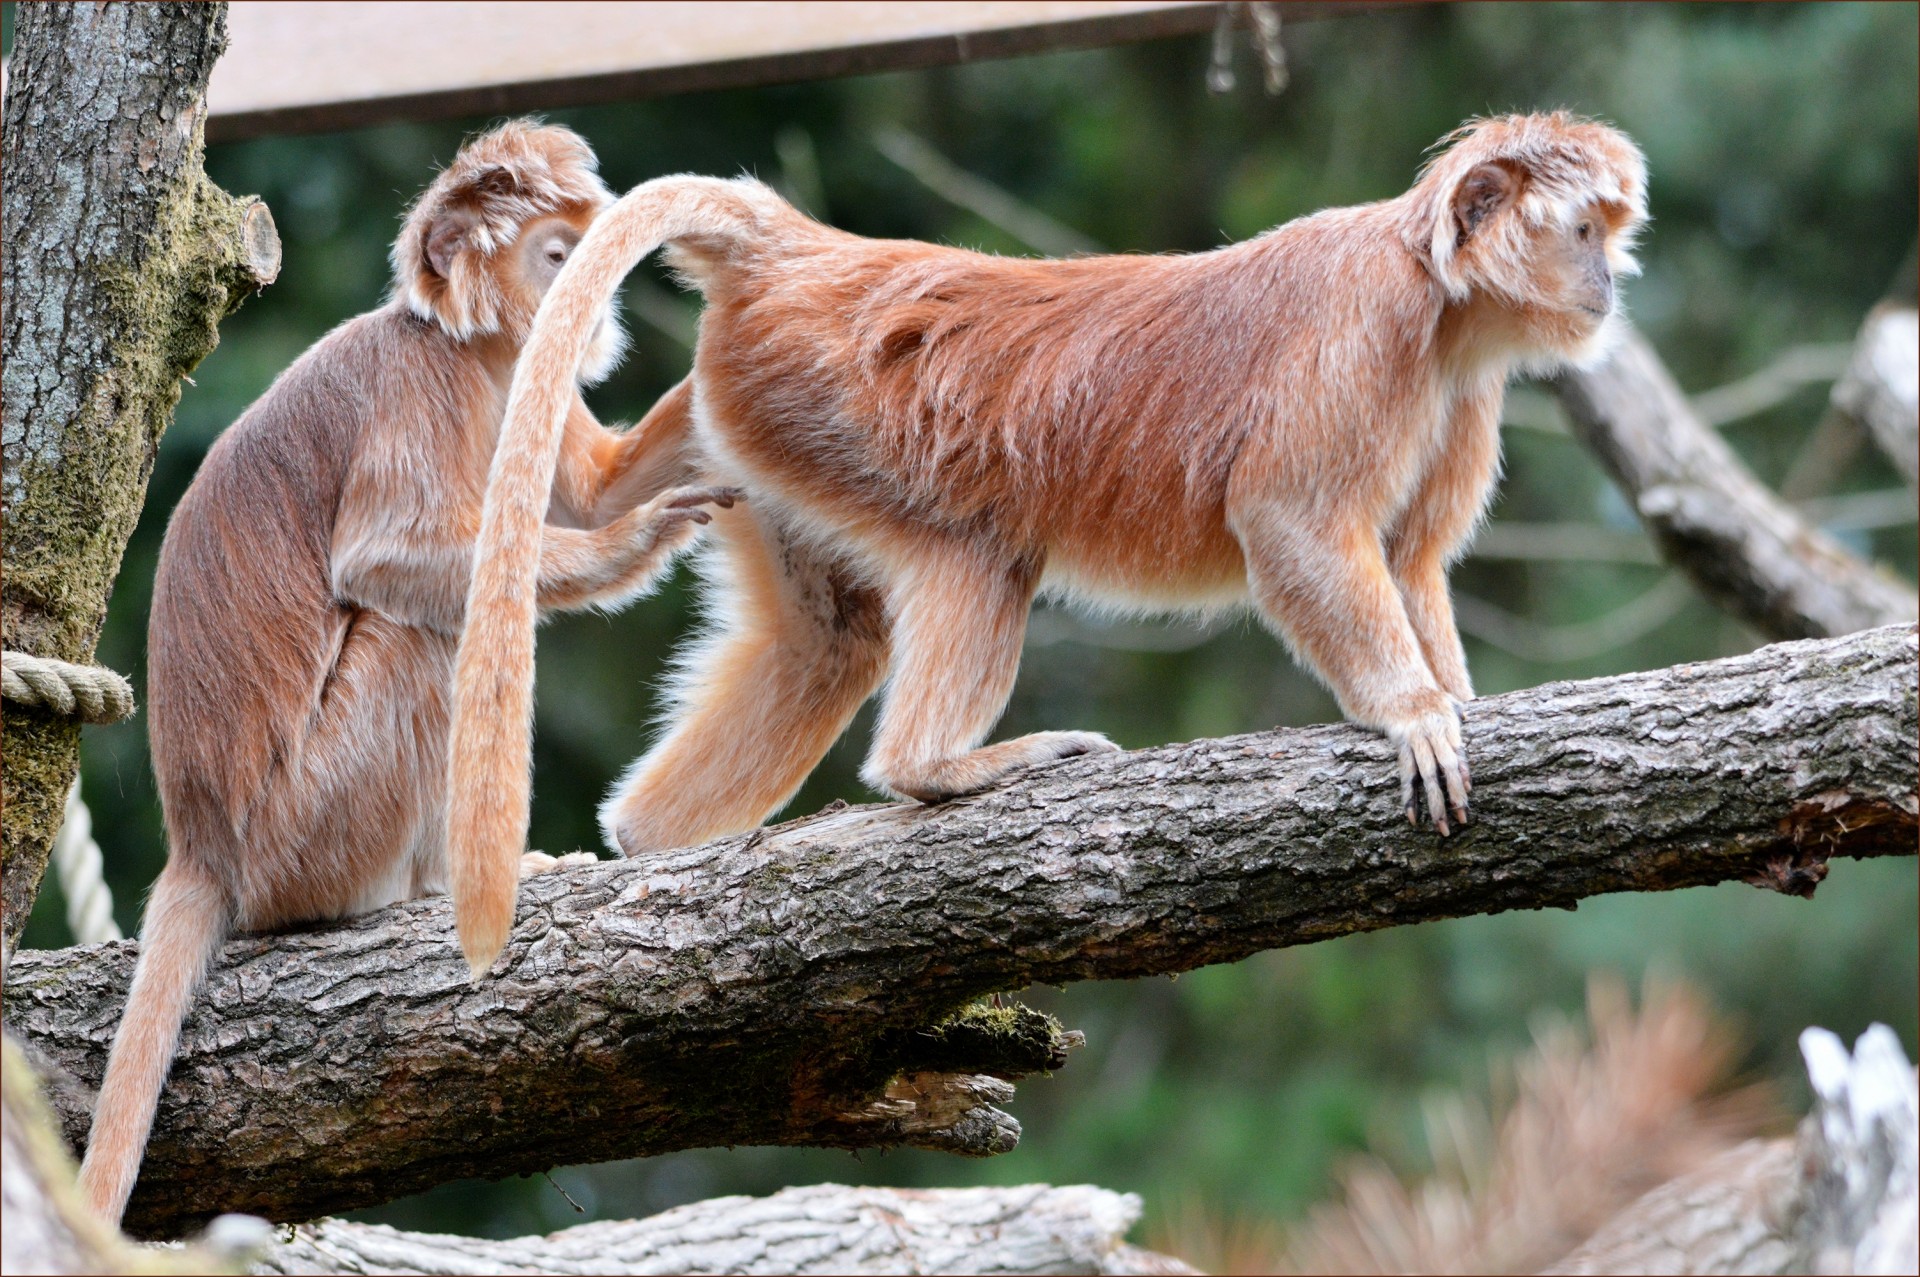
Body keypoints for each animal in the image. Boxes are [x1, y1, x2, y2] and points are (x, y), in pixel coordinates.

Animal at [78, 121, 729, 1228]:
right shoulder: (419, 391)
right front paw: (624, 543)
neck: (471, 350)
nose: (593, 308)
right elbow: (383, 561)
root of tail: (201, 845)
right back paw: (425, 891)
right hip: (305, 831)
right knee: (420, 632)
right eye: (556, 259)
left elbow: (596, 491)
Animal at [449, 117, 1651, 894]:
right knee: (981, 553)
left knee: (831, 638)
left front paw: (1448, 695)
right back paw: (935, 768)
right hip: (834, 398)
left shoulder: (1462, 381)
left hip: (757, 419)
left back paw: (647, 844)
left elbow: (1408, 561)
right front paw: (1410, 710)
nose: (1614, 282)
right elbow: (1291, 524)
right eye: (1585, 233)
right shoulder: (1368, 327)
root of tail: (801, 248)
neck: (1440, 297)